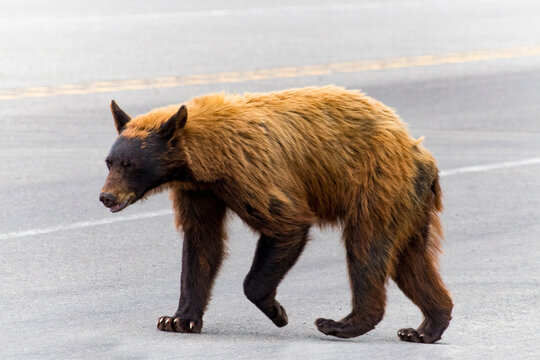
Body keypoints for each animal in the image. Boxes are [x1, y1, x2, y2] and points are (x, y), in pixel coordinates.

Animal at [100, 85, 452, 344]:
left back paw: (338, 324)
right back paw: (425, 327)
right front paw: (177, 319)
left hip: (378, 185)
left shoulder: (250, 172)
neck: (206, 160)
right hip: (408, 203)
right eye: (109, 161)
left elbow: (286, 225)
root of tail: (418, 150)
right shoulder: (199, 192)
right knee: (410, 260)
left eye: (130, 164)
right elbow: (201, 245)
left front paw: (277, 311)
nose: (106, 197)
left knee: (367, 250)